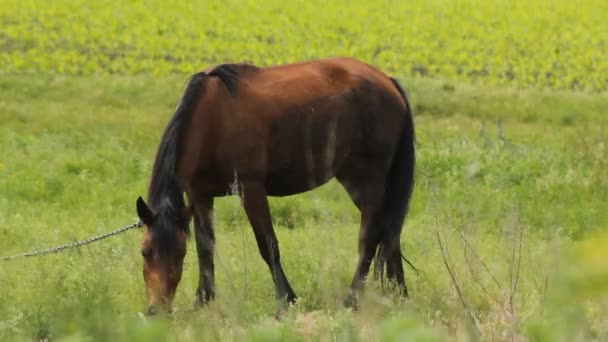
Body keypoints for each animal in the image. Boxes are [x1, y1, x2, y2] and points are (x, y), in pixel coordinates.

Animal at [135, 56, 416, 316]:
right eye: (145, 252)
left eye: (179, 254)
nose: (156, 310)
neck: (212, 118)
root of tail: (388, 81)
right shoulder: (200, 195)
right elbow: (206, 247)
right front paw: (202, 301)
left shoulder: (251, 190)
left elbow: (267, 246)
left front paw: (286, 300)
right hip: (356, 181)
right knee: (389, 232)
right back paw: (399, 294)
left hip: (369, 181)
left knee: (370, 237)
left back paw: (352, 299)